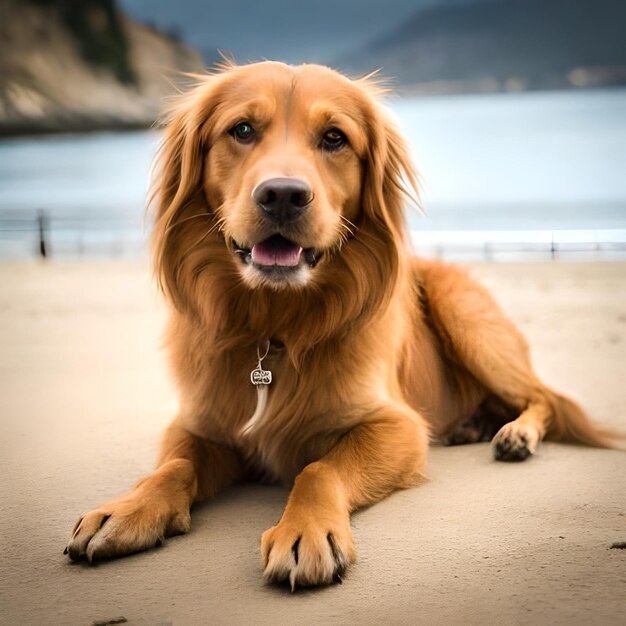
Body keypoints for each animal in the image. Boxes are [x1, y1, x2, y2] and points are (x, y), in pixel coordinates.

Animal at [64, 59, 608, 584]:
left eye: (334, 138)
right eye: (241, 130)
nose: (283, 195)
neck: (274, 328)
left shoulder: (396, 425)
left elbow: (318, 469)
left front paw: (305, 530)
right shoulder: (199, 424)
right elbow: (173, 465)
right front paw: (128, 509)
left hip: (467, 319)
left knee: (544, 398)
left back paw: (516, 434)